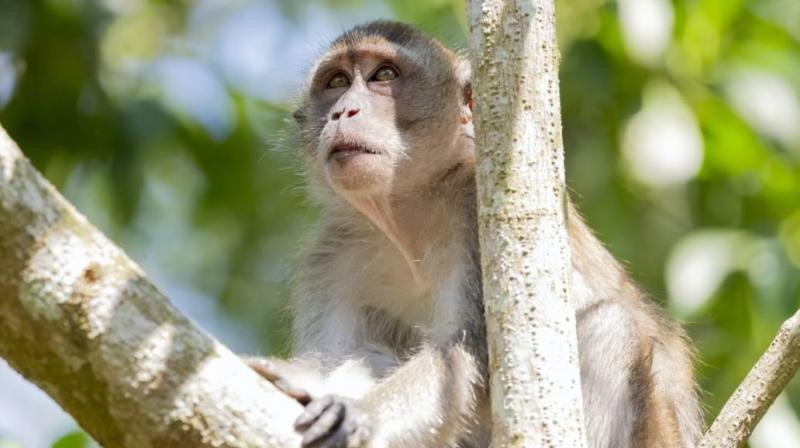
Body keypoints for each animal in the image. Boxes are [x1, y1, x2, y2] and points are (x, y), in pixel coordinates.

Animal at [246, 20, 703, 448]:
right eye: (337, 82)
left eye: (384, 75)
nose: (344, 112)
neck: (409, 215)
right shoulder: (330, 254)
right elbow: (335, 355)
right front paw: (294, 379)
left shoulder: (473, 207)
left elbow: (463, 353)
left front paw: (358, 413)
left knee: (610, 326)